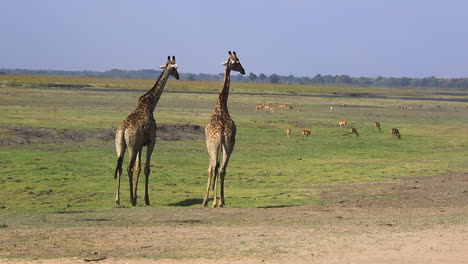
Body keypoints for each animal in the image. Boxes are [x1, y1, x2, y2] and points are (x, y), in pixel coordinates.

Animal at [113, 55, 179, 206]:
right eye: (175, 68)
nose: (178, 76)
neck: (150, 104)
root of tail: (123, 131)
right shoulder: (151, 141)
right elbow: (146, 169)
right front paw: (146, 199)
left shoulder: (140, 145)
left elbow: (139, 169)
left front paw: (137, 196)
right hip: (131, 146)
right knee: (128, 168)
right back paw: (131, 200)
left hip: (120, 145)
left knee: (120, 168)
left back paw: (118, 200)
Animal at [202, 51, 245, 208]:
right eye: (238, 62)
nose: (244, 70)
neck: (221, 103)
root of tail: (221, 132)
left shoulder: (209, 145)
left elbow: (210, 169)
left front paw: (205, 201)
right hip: (229, 145)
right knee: (222, 169)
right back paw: (221, 202)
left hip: (213, 146)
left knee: (214, 168)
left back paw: (213, 202)